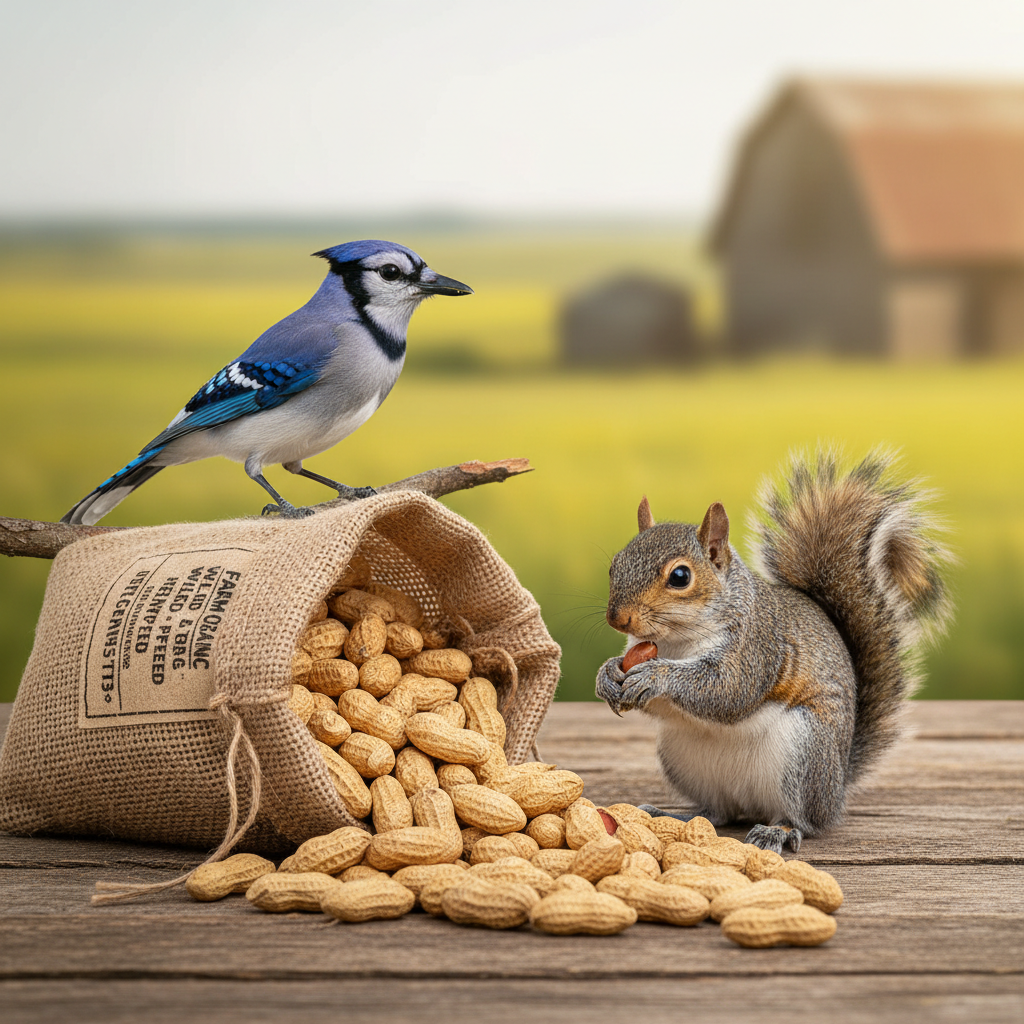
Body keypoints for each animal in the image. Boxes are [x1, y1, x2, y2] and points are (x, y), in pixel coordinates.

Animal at [595, 449, 952, 853]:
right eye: (615, 565)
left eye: (680, 577)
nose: (617, 618)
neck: (676, 640)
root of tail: (837, 787)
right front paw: (608, 674)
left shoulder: (757, 648)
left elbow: (726, 690)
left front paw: (656, 675)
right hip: (682, 758)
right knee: (718, 812)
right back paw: (674, 816)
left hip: (804, 754)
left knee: (802, 819)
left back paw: (776, 831)